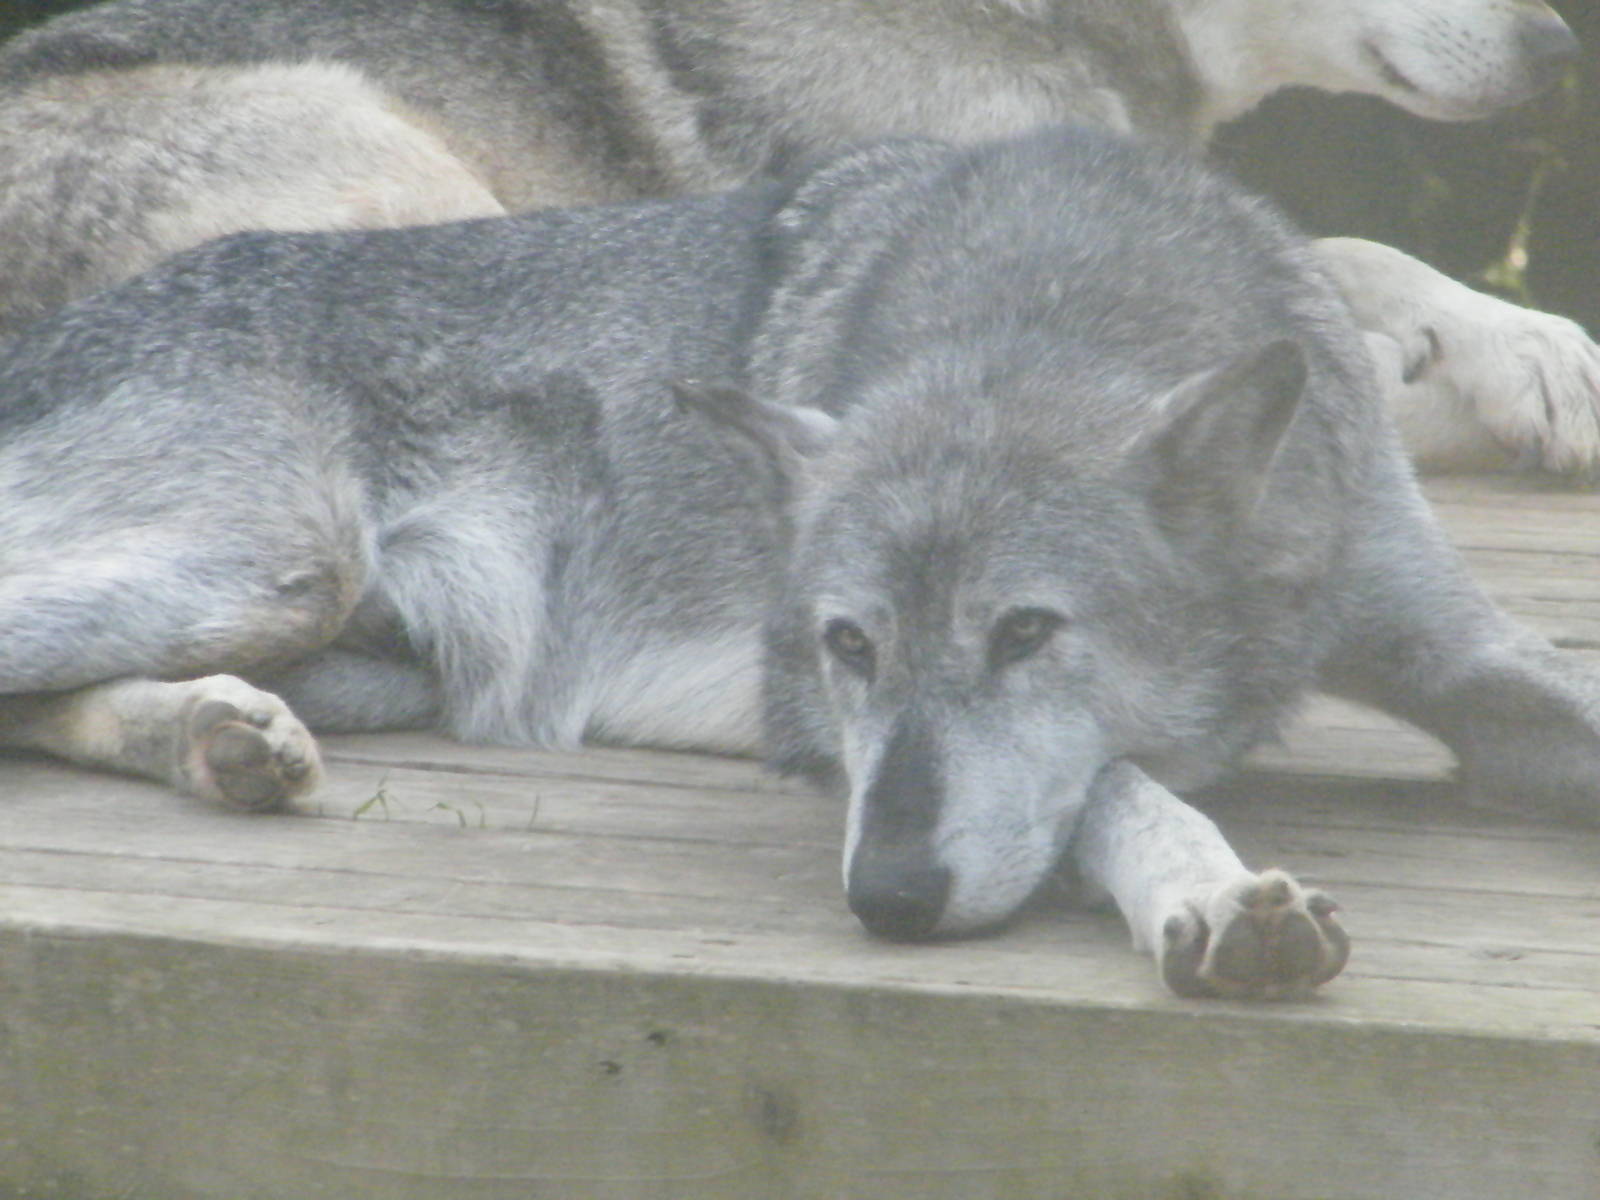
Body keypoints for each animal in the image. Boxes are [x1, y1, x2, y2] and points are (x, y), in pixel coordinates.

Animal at [6, 126, 1600, 997]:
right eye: (846, 649)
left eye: (1027, 636)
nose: (884, 900)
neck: (1060, 304)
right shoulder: (822, 743)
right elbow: (1118, 786)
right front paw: (1208, 896)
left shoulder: (1468, 657)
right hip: (278, 563)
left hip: (349, 648)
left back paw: (219, 738)